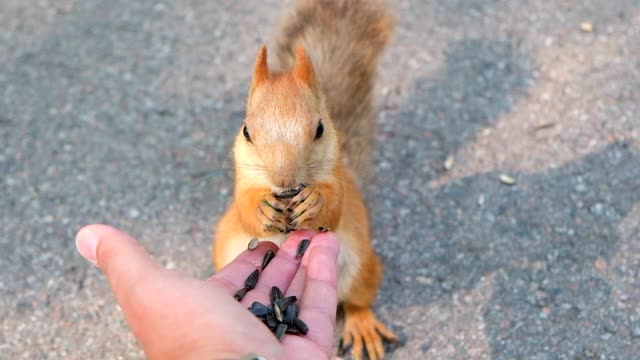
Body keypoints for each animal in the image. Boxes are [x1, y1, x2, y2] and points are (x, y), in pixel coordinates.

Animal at [212, 1, 398, 358]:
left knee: (357, 301)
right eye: (246, 131)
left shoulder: (338, 182)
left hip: (361, 266)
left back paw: (362, 325)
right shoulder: (243, 181)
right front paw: (263, 209)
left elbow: (332, 207)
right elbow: (246, 211)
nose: (284, 179)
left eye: (320, 128)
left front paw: (313, 201)